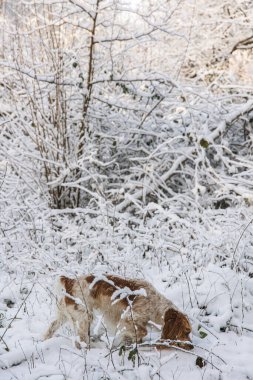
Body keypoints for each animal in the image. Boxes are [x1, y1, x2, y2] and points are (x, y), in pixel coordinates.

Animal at [43, 274, 193, 350]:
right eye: (186, 332)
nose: (191, 346)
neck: (156, 305)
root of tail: (70, 281)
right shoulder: (128, 317)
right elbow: (141, 331)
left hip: (65, 315)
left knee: (50, 329)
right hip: (85, 316)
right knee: (81, 341)